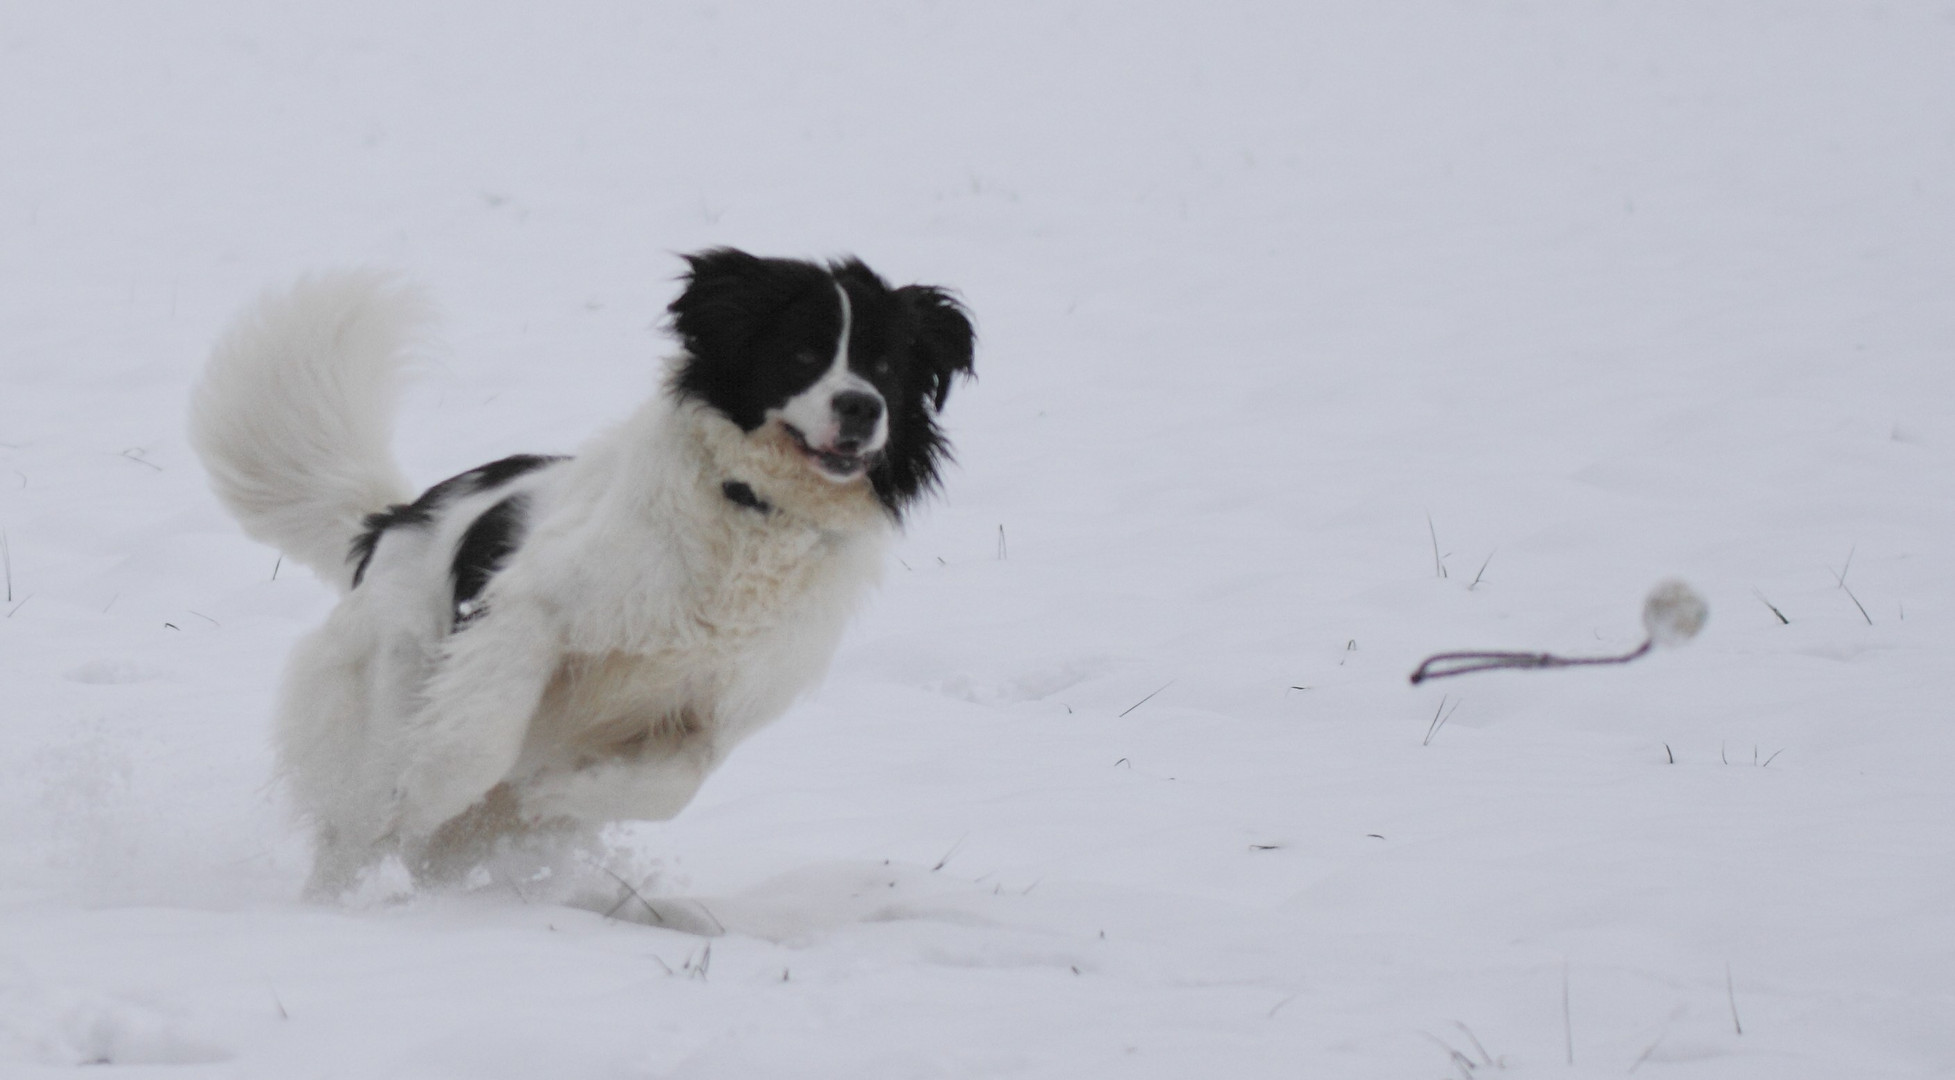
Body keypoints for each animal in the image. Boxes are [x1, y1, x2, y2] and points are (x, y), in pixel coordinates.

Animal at [190, 250, 969, 896]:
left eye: (887, 368)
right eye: (802, 352)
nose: (861, 407)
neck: (753, 509)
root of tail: (391, 519)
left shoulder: (719, 706)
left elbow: (672, 786)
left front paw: (556, 794)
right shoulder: (529, 612)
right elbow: (474, 744)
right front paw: (428, 792)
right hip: (388, 679)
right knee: (359, 816)